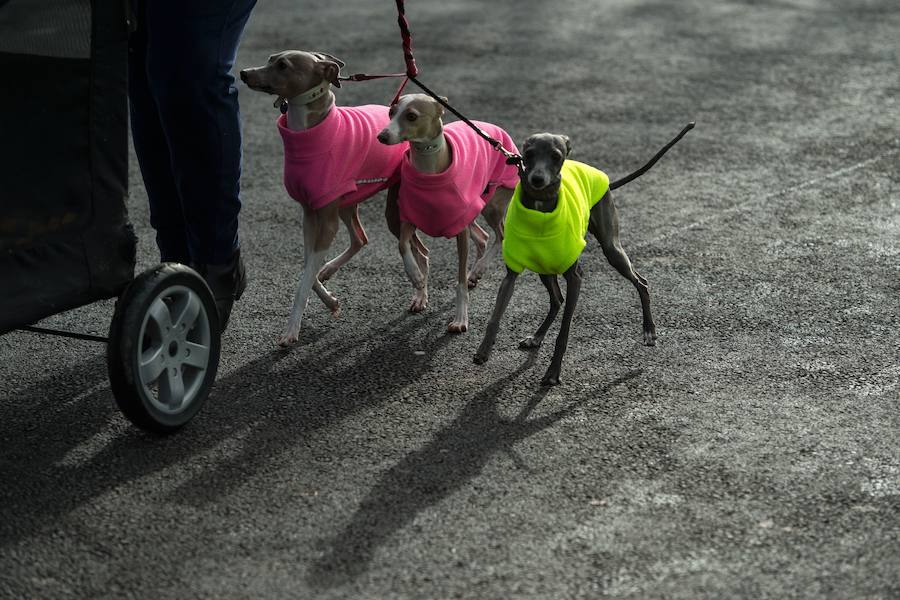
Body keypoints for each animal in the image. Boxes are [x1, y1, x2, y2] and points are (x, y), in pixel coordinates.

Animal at [474, 125, 692, 386]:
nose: (537, 179)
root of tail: (605, 180)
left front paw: (553, 372)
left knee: (642, 282)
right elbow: (495, 315)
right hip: (543, 267)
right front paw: (484, 350)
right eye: (528, 154)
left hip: (611, 248)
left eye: (556, 156)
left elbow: (564, 332)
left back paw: (649, 331)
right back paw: (536, 337)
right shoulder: (512, 274)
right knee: (556, 300)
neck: (541, 207)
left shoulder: (575, 277)